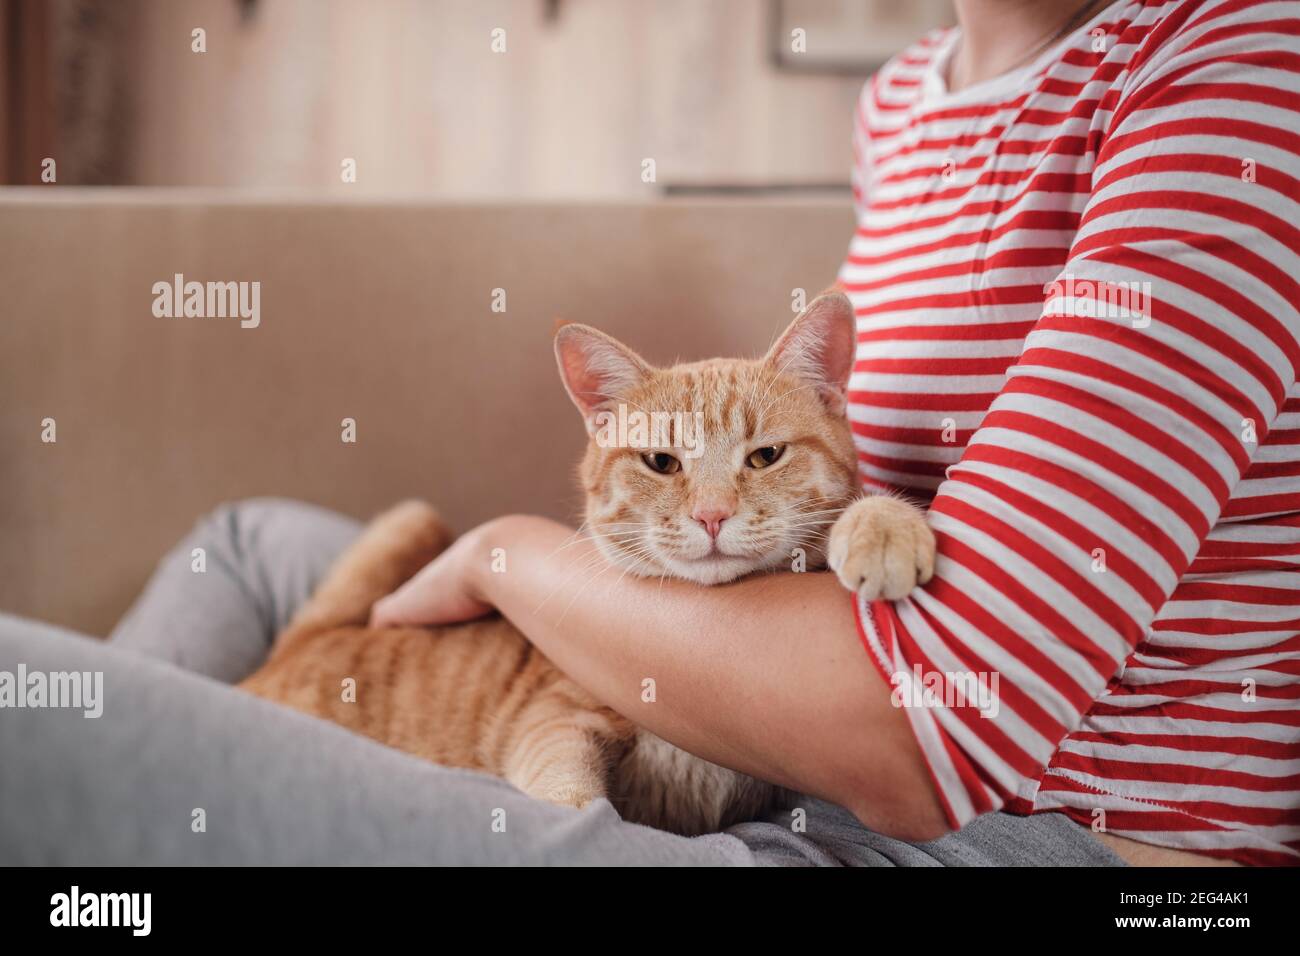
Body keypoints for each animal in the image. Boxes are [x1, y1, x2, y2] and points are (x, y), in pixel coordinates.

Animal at [239, 293, 935, 837]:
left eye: (765, 456)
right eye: (661, 463)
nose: (711, 515)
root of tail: (302, 644)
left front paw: (885, 525)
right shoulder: (553, 719)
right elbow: (567, 791)